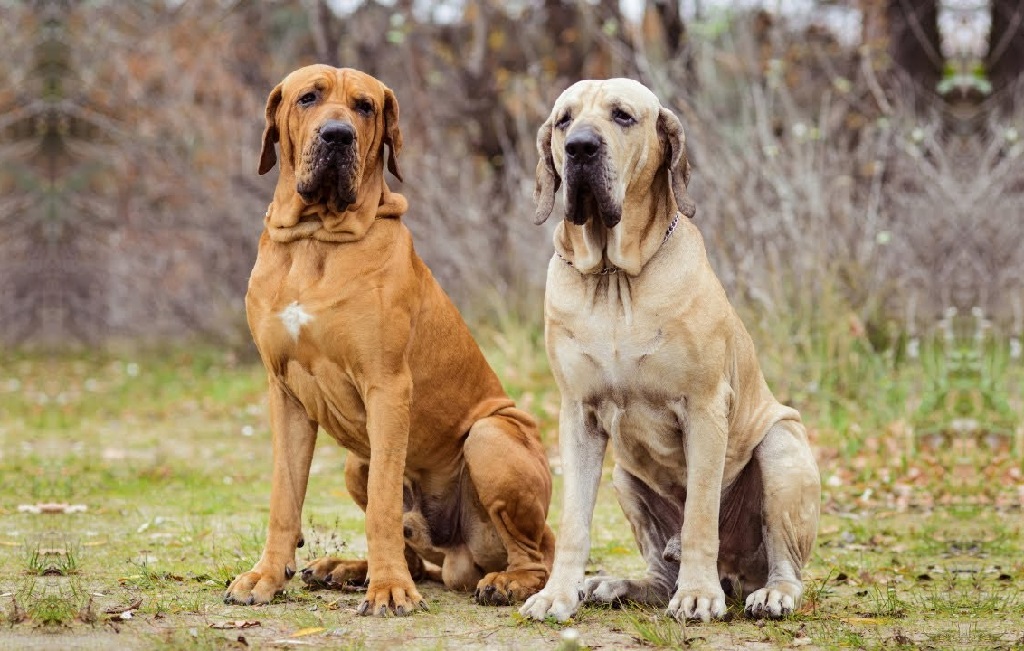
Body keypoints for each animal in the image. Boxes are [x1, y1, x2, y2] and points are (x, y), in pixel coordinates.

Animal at [225, 64, 557, 614]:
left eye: (365, 107)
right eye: (308, 98)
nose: (337, 135)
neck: (316, 240)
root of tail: (458, 558)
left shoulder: (387, 386)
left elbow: (382, 503)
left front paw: (388, 589)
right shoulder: (285, 393)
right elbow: (283, 497)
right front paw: (267, 576)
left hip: (490, 436)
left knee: (540, 553)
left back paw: (505, 582)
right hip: (353, 464)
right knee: (419, 557)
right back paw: (346, 569)